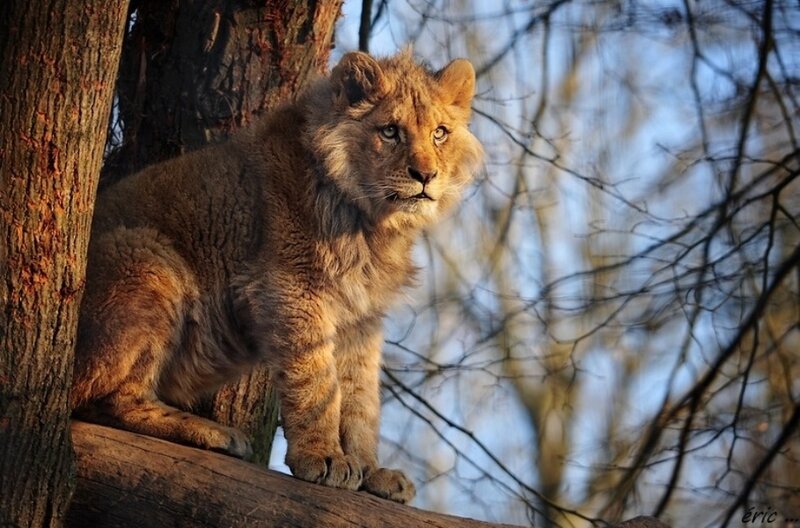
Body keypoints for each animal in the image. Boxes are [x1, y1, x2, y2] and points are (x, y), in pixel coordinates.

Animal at [71, 49, 483, 504]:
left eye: (440, 134)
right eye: (390, 132)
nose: (425, 176)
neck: (372, 223)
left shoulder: (361, 317)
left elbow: (360, 398)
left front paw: (371, 471)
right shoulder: (291, 288)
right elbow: (316, 382)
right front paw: (323, 458)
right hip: (148, 255)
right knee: (102, 399)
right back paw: (212, 432)